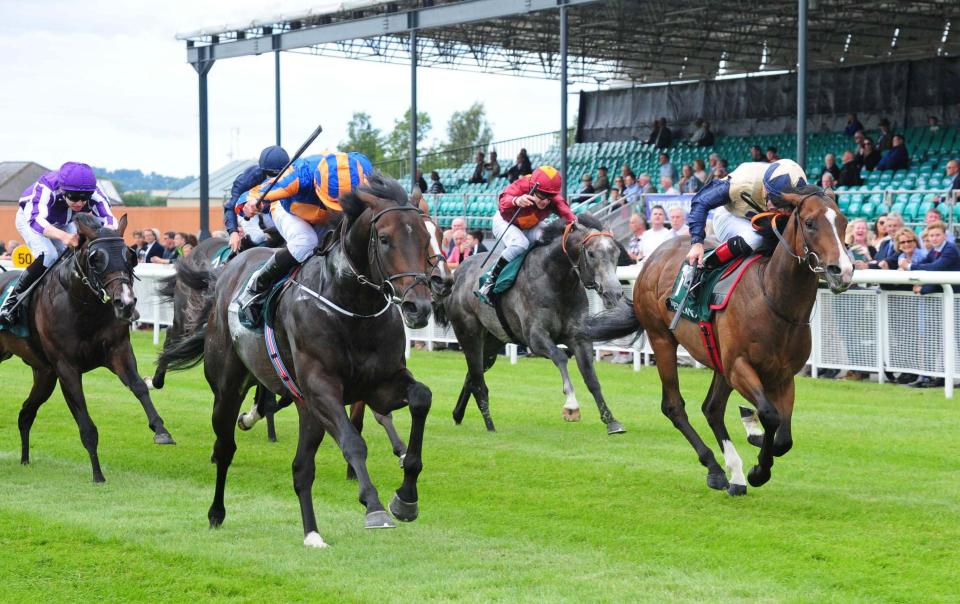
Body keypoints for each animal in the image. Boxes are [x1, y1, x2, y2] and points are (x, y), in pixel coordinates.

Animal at [0, 215, 174, 484]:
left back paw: (25, 459)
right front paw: (97, 474)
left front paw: (161, 430)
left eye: (130, 255)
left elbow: (139, 387)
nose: (125, 303)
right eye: (96, 258)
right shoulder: (66, 368)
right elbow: (85, 422)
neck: (82, 305)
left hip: (44, 375)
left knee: (25, 413)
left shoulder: (118, 351)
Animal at [160, 175, 436, 548]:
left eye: (425, 237)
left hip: (308, 410)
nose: (418, 307)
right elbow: (354, 442)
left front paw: (406, 497)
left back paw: (312, 532)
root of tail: (227, 271)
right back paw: (216, 512)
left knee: (301, 468)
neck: (352, 306)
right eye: (385, 239)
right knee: (225, 447)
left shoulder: (380, 384)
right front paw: (375, 506)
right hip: (228, 388)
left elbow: (421, 398)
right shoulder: (322, 387)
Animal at [436, 212, 632, 434]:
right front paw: (571, 405)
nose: (614, 293)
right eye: (590, 253)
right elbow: (560, 357)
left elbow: (591, 377)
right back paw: (490, 425)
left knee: (472, 376)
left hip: (493, 341)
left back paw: (458, 414)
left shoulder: (579, 337)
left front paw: (611, 421)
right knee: (478, 379)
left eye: (616, 252)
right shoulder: (535, 337)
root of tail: (458, 273)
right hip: (469, 334)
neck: (556, 279)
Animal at [584, 189, 848, 496]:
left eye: (843, 222)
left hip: (717, 358)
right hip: (662, 339)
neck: (773, 297)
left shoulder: (782, 376)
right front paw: (758, 470)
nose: (842, 270)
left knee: (712, 408)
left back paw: (736, 471)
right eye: (810, 222)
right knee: (674, 406)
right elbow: (770, 415)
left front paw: (757, 447)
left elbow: (783, 437)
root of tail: (654, 256)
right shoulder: (739, 366)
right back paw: (717, 469)